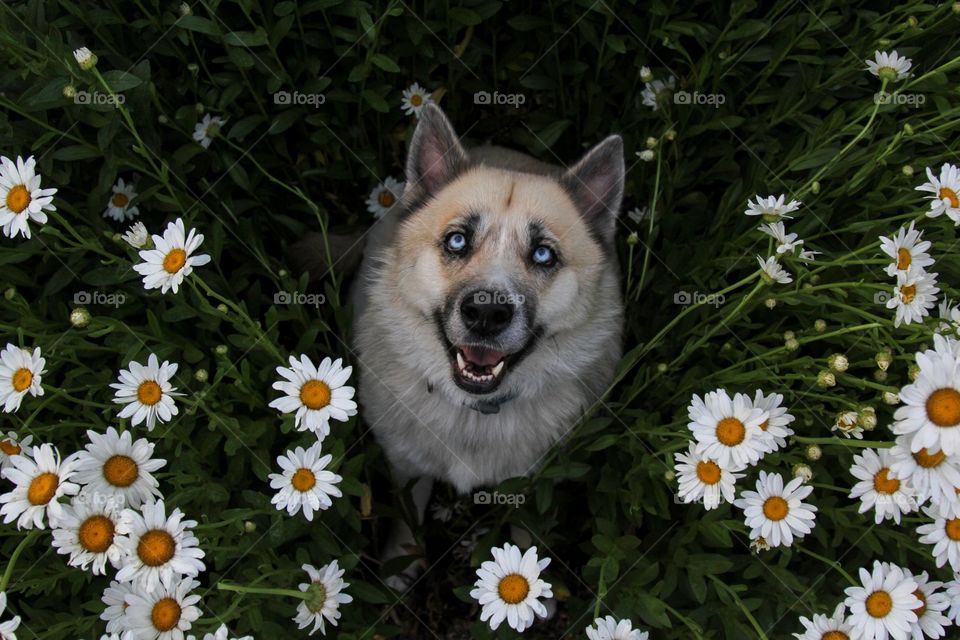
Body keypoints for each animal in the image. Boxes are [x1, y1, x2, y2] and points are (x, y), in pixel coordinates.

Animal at [348, 104, 628, 580]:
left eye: (543, 254)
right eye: (457, 240)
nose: (486, 314)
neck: (475, 411)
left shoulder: (534, 485)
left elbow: (525, 537)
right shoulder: (406, 464)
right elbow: (408, 516)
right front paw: (401, 565)